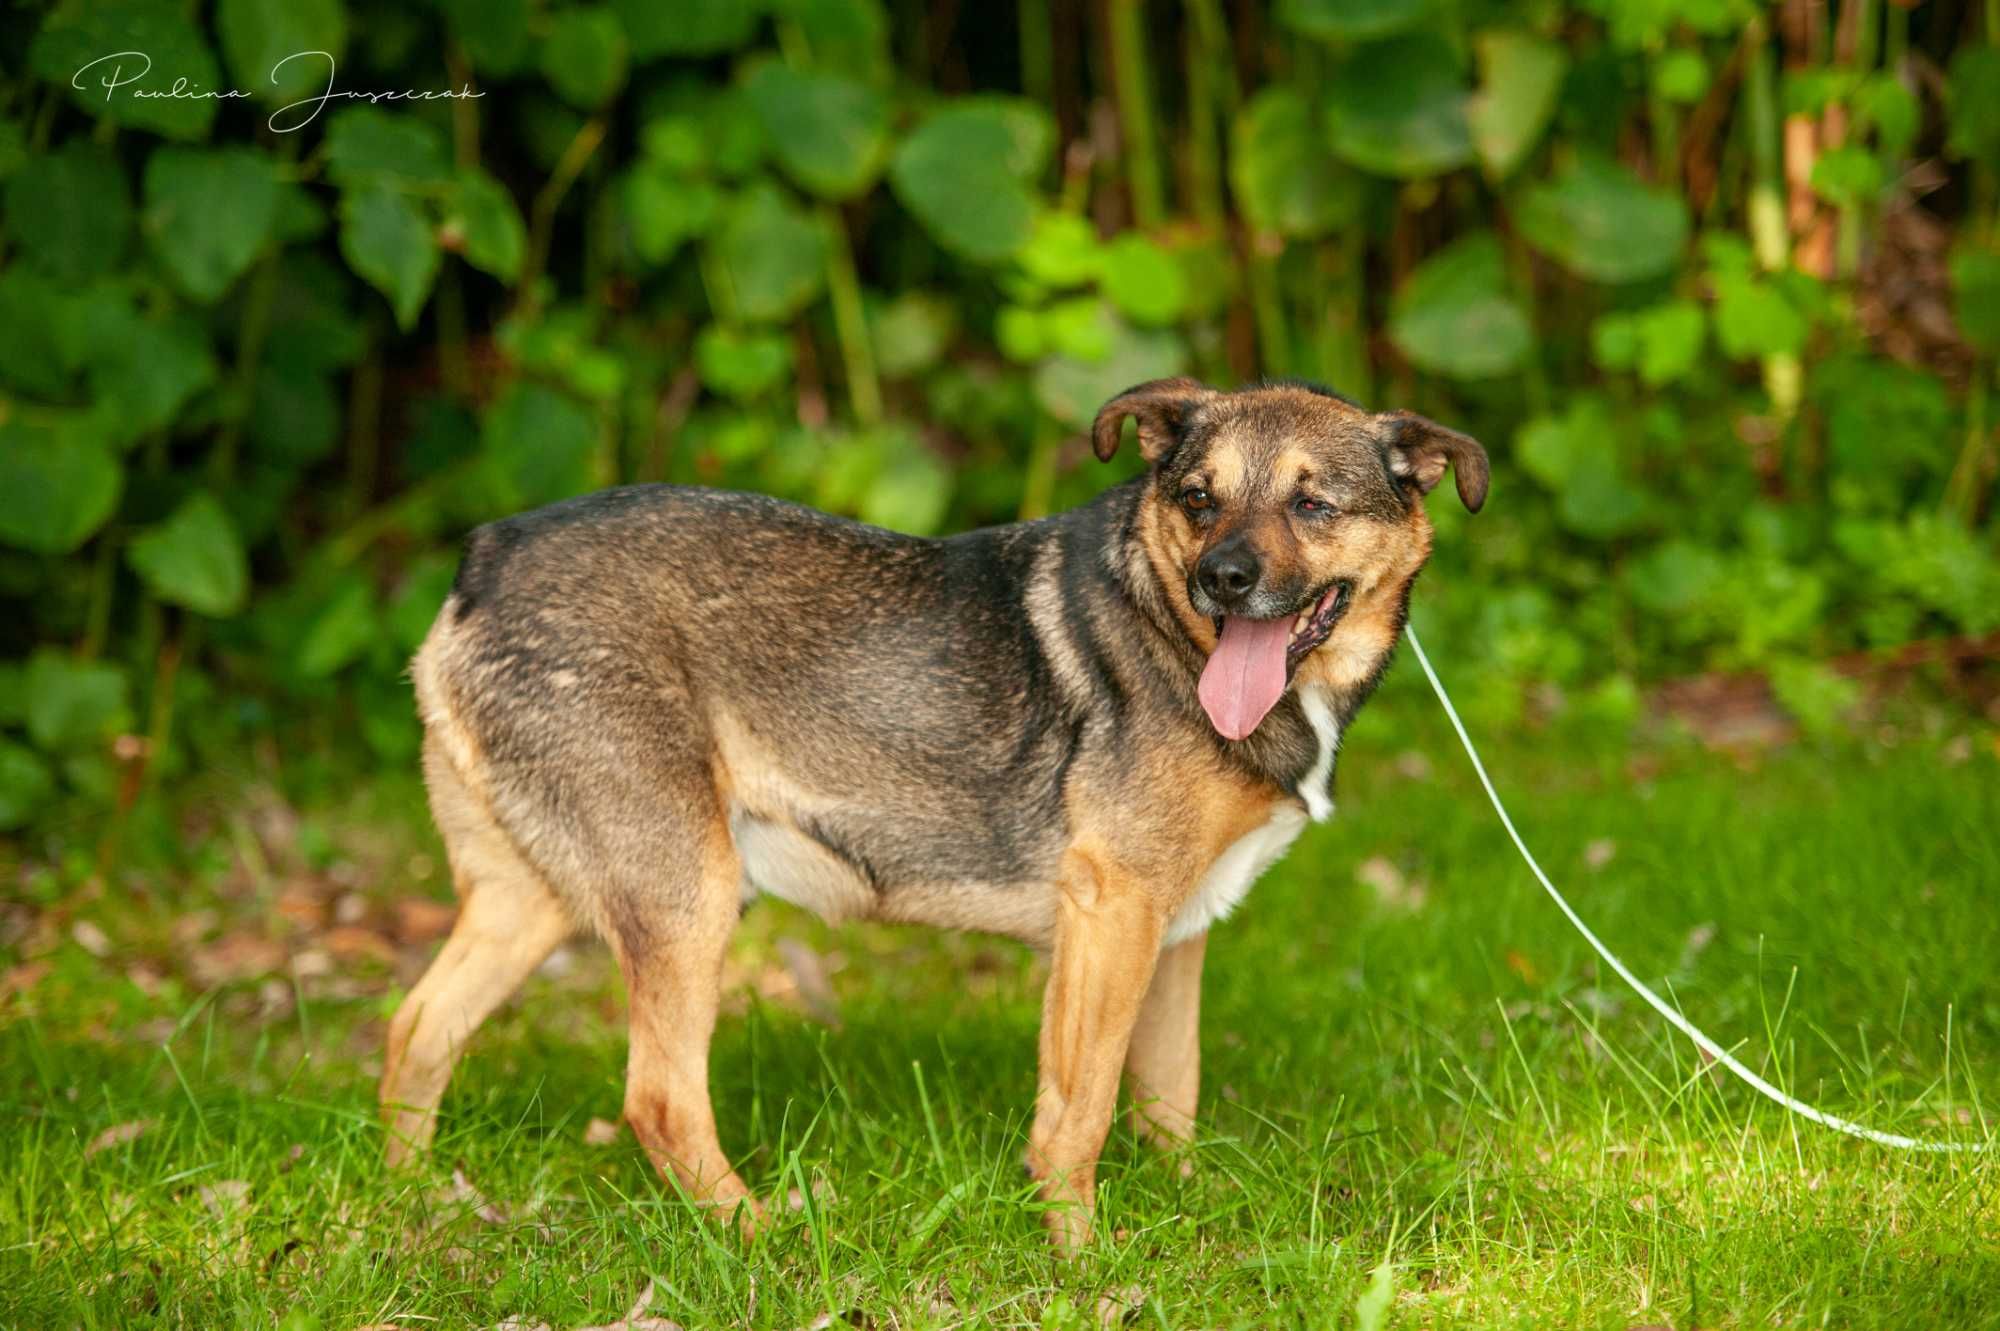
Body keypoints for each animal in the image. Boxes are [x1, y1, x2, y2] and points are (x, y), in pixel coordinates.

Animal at [382, 373, 1496, 1247]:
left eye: (1312, 504)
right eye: (1195, 495)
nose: (1218, 578)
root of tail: (483, 560)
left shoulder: (1177, 927)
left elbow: (1167, 1096)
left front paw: (1186, 1212)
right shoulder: (1111, 910)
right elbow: (1080, 1110)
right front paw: (1083, 1259)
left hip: (529, 898)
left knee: (415, 1030)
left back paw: (415, 1209)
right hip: (685, 892)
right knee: (658, 1098)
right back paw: (762, 1237)